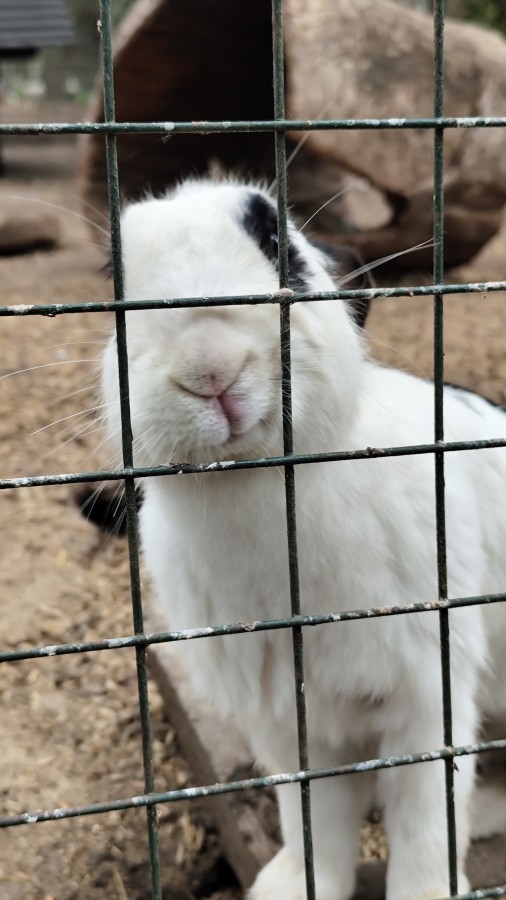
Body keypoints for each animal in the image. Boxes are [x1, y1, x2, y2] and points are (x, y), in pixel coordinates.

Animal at [101, 179, 504, 896]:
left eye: (278, 245)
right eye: (113, 280)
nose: (210, 367)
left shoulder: (427, 696)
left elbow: (426, 817)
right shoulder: (288, 719)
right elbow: (313, 817)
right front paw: (291, 885)